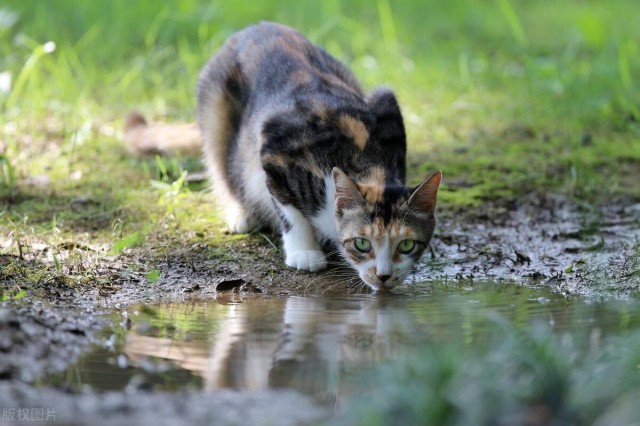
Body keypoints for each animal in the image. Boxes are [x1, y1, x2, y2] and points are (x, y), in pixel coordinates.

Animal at [128, 21, 442, 292]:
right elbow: (288, 207)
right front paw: (304, 251)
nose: (384, 276)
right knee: (221, 165)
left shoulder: (387, 111)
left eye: (407, 245)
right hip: (216, 110)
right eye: (362, 244)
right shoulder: (274, 142)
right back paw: (240, 213)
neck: (362, 159)